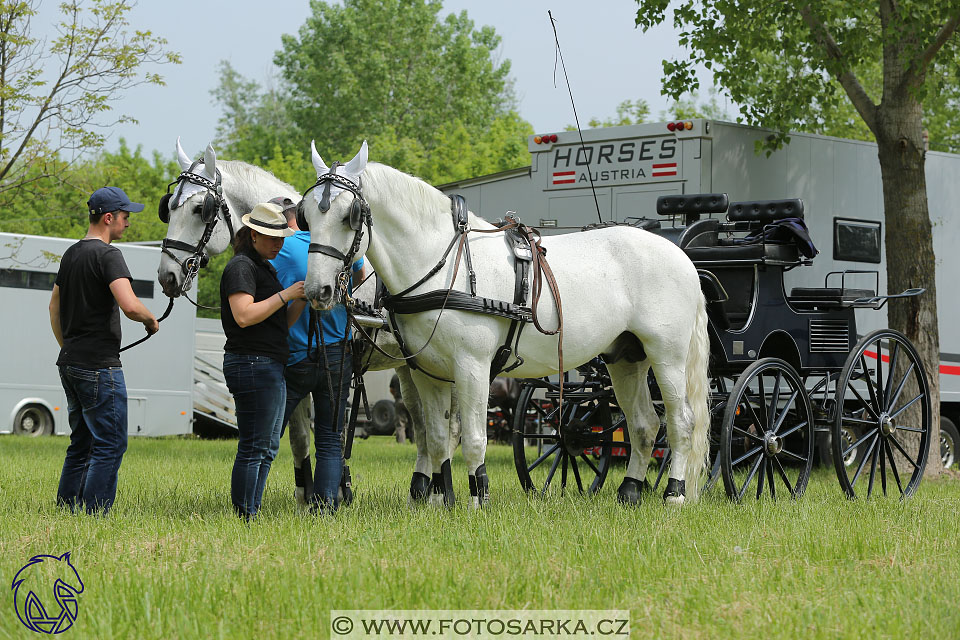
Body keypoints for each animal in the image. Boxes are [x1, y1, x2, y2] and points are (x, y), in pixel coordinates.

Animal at [158, 140, 458, 504]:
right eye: (168, 208)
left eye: (200, 208)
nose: (167, 275)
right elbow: (299, 436)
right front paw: (307, 493)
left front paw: (334, 491)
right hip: (408, 367)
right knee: (422, 422)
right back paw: (420, 488)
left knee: (447, 427)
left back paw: (437, 491)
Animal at [300, 142, 712, 508]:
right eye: (306, 215)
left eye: (349, 215)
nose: (317, 290)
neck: (440, 263)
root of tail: (680, 254)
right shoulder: (426, 372)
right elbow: (435, 437)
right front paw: (436, 499)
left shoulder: (472, 366)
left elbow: (473, 438)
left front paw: (477, 498)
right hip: (626, 357)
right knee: (644, 426)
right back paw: (629, 493)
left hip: (667, 355)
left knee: (681, 422)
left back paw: (674, 494)